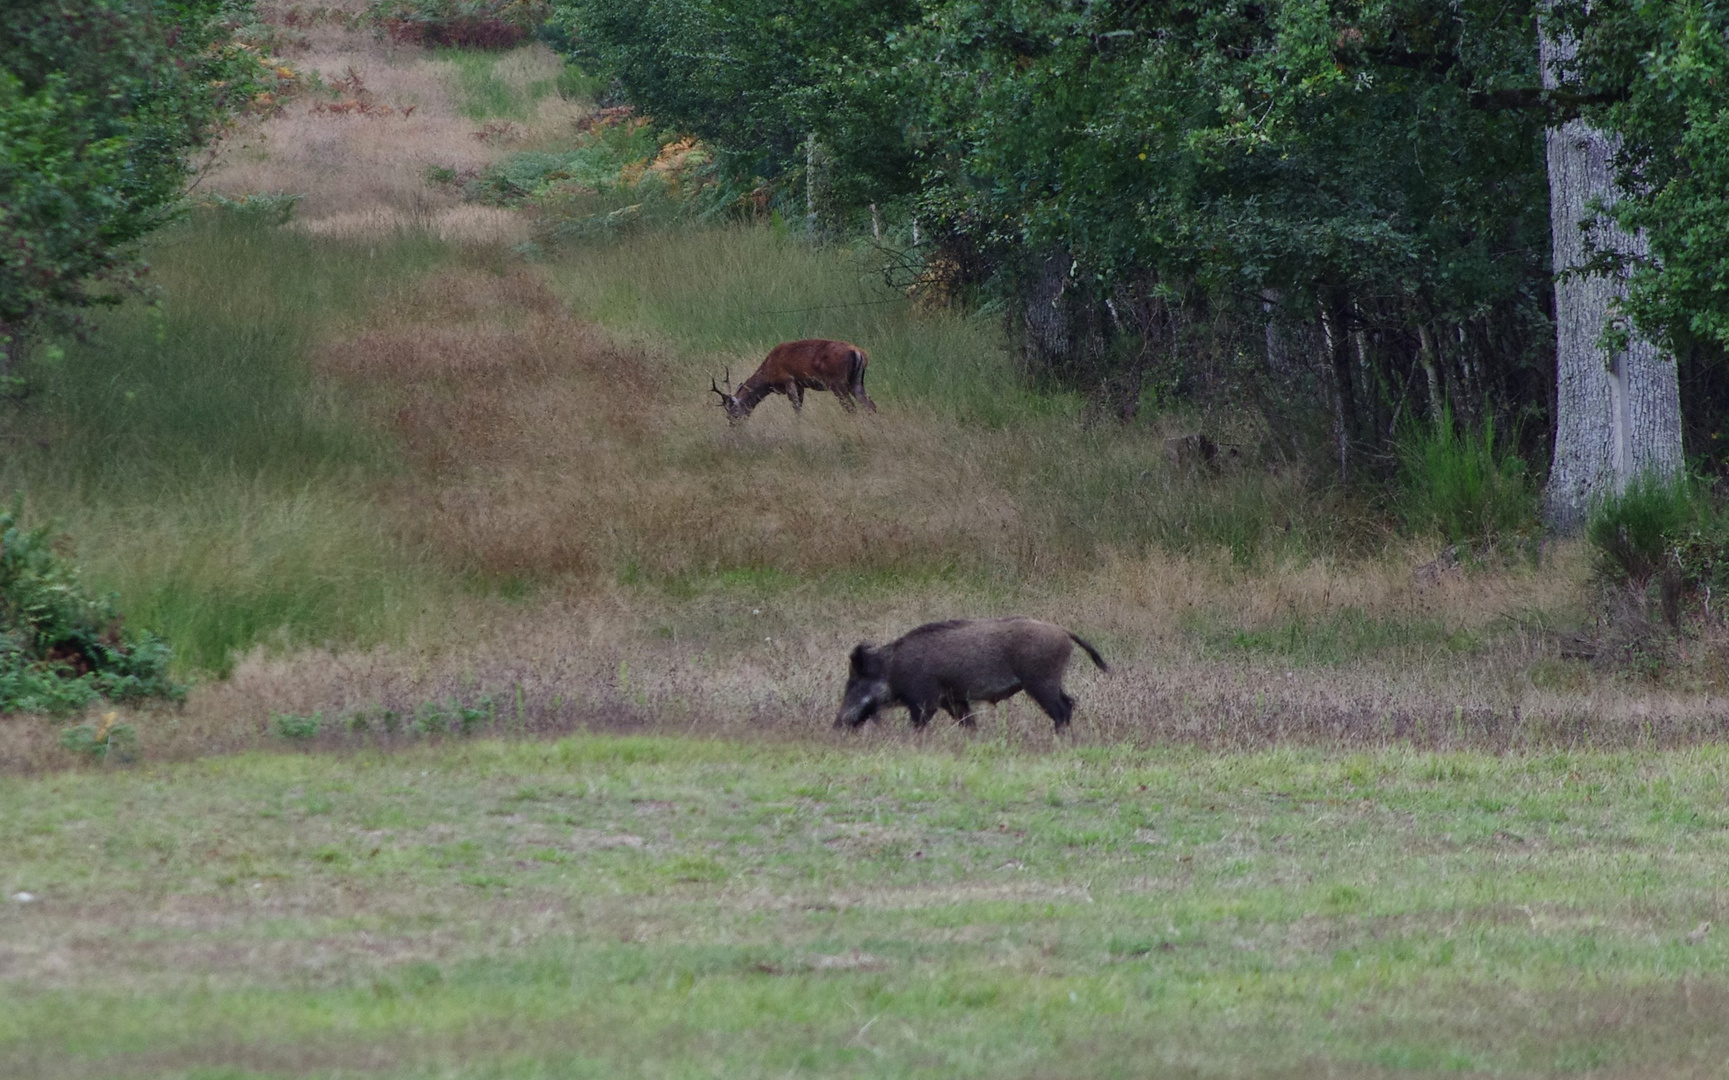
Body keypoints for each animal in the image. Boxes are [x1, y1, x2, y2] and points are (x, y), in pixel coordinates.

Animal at [708, 340, 878, 421]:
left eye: (733, 414)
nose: (733, 426)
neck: (769, 376)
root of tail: (858, 352)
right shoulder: (800, 385)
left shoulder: (788, 380)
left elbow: (796, 409)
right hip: (856, 382)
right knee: (870, 405)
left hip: (838, 382)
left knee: (851, 408)